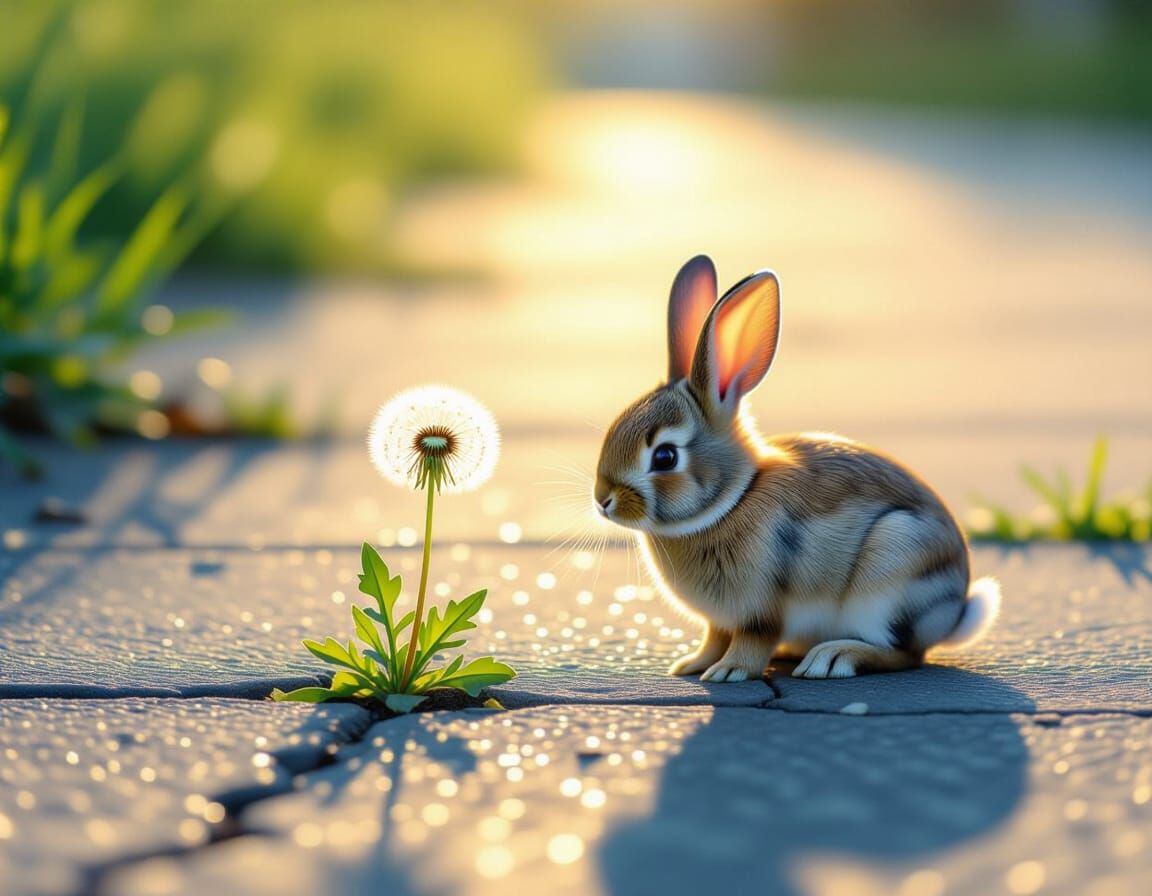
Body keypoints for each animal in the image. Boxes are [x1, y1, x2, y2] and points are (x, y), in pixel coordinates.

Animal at [593, 255, 1001, 682]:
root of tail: (954, 612)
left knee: (904, 654)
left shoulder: (761, 612)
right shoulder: (719, 621)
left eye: (665, 457)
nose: (602, 500)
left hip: (891, 575)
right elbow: (714, 638)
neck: (733, 500)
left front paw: (729, 672)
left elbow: (752, 642)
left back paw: (832, 658)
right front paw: (692, 665)